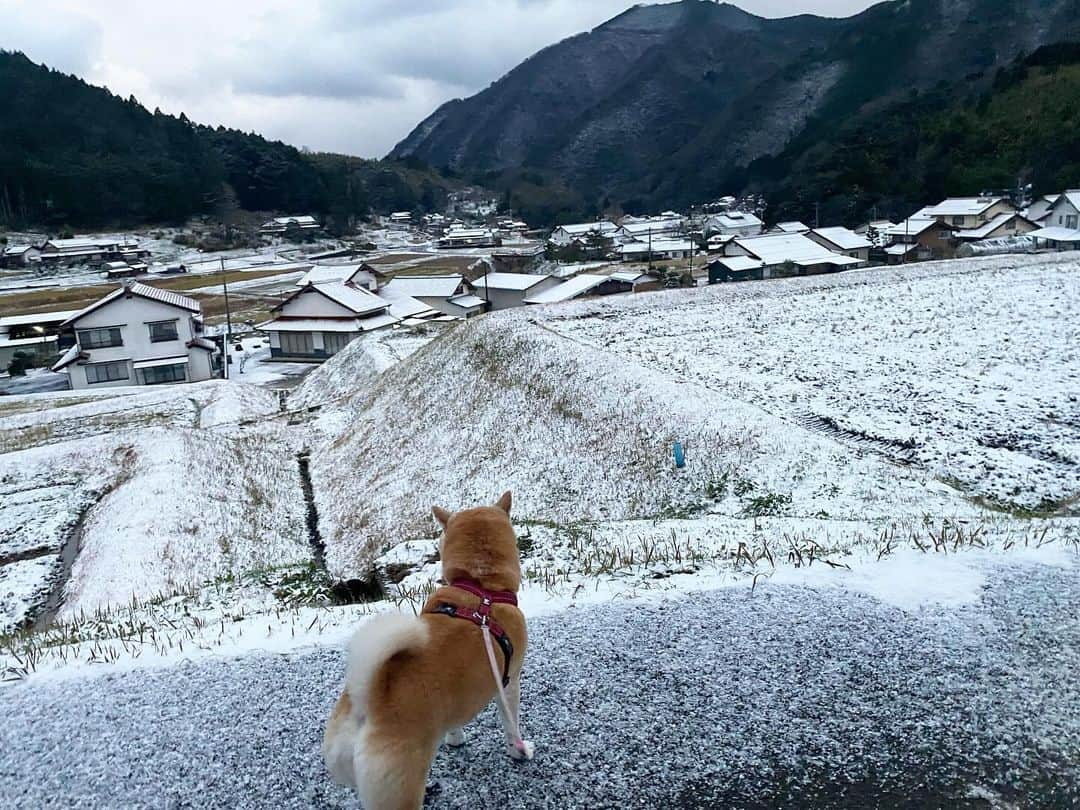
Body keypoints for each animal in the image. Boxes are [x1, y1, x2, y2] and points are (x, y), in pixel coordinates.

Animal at [324, 492, 535, 807]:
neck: (481, 586)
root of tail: (370, 699)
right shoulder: (508, 682)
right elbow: (512, 725)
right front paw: (519, 751)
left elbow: (454, 724)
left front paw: (455, 739)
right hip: (400, 789)